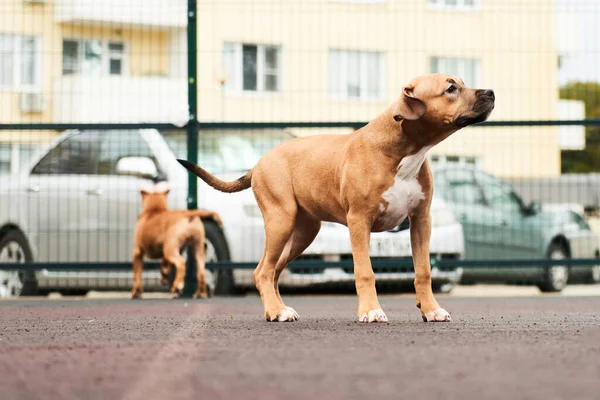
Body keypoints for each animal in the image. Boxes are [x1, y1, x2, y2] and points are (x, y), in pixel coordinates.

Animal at [177, 74, 492, 322]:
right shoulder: (359, 221)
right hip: (280, 221)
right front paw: (371, 311)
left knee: (272, 271)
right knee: (263, 271)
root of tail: (258, 163)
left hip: (303, 232)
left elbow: (424, 270)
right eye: (450, 88)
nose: (491, 92)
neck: (404, 150)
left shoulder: (420, 220)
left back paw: (276, 309)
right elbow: (365, 272)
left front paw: (430, 309)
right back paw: (277, 311)